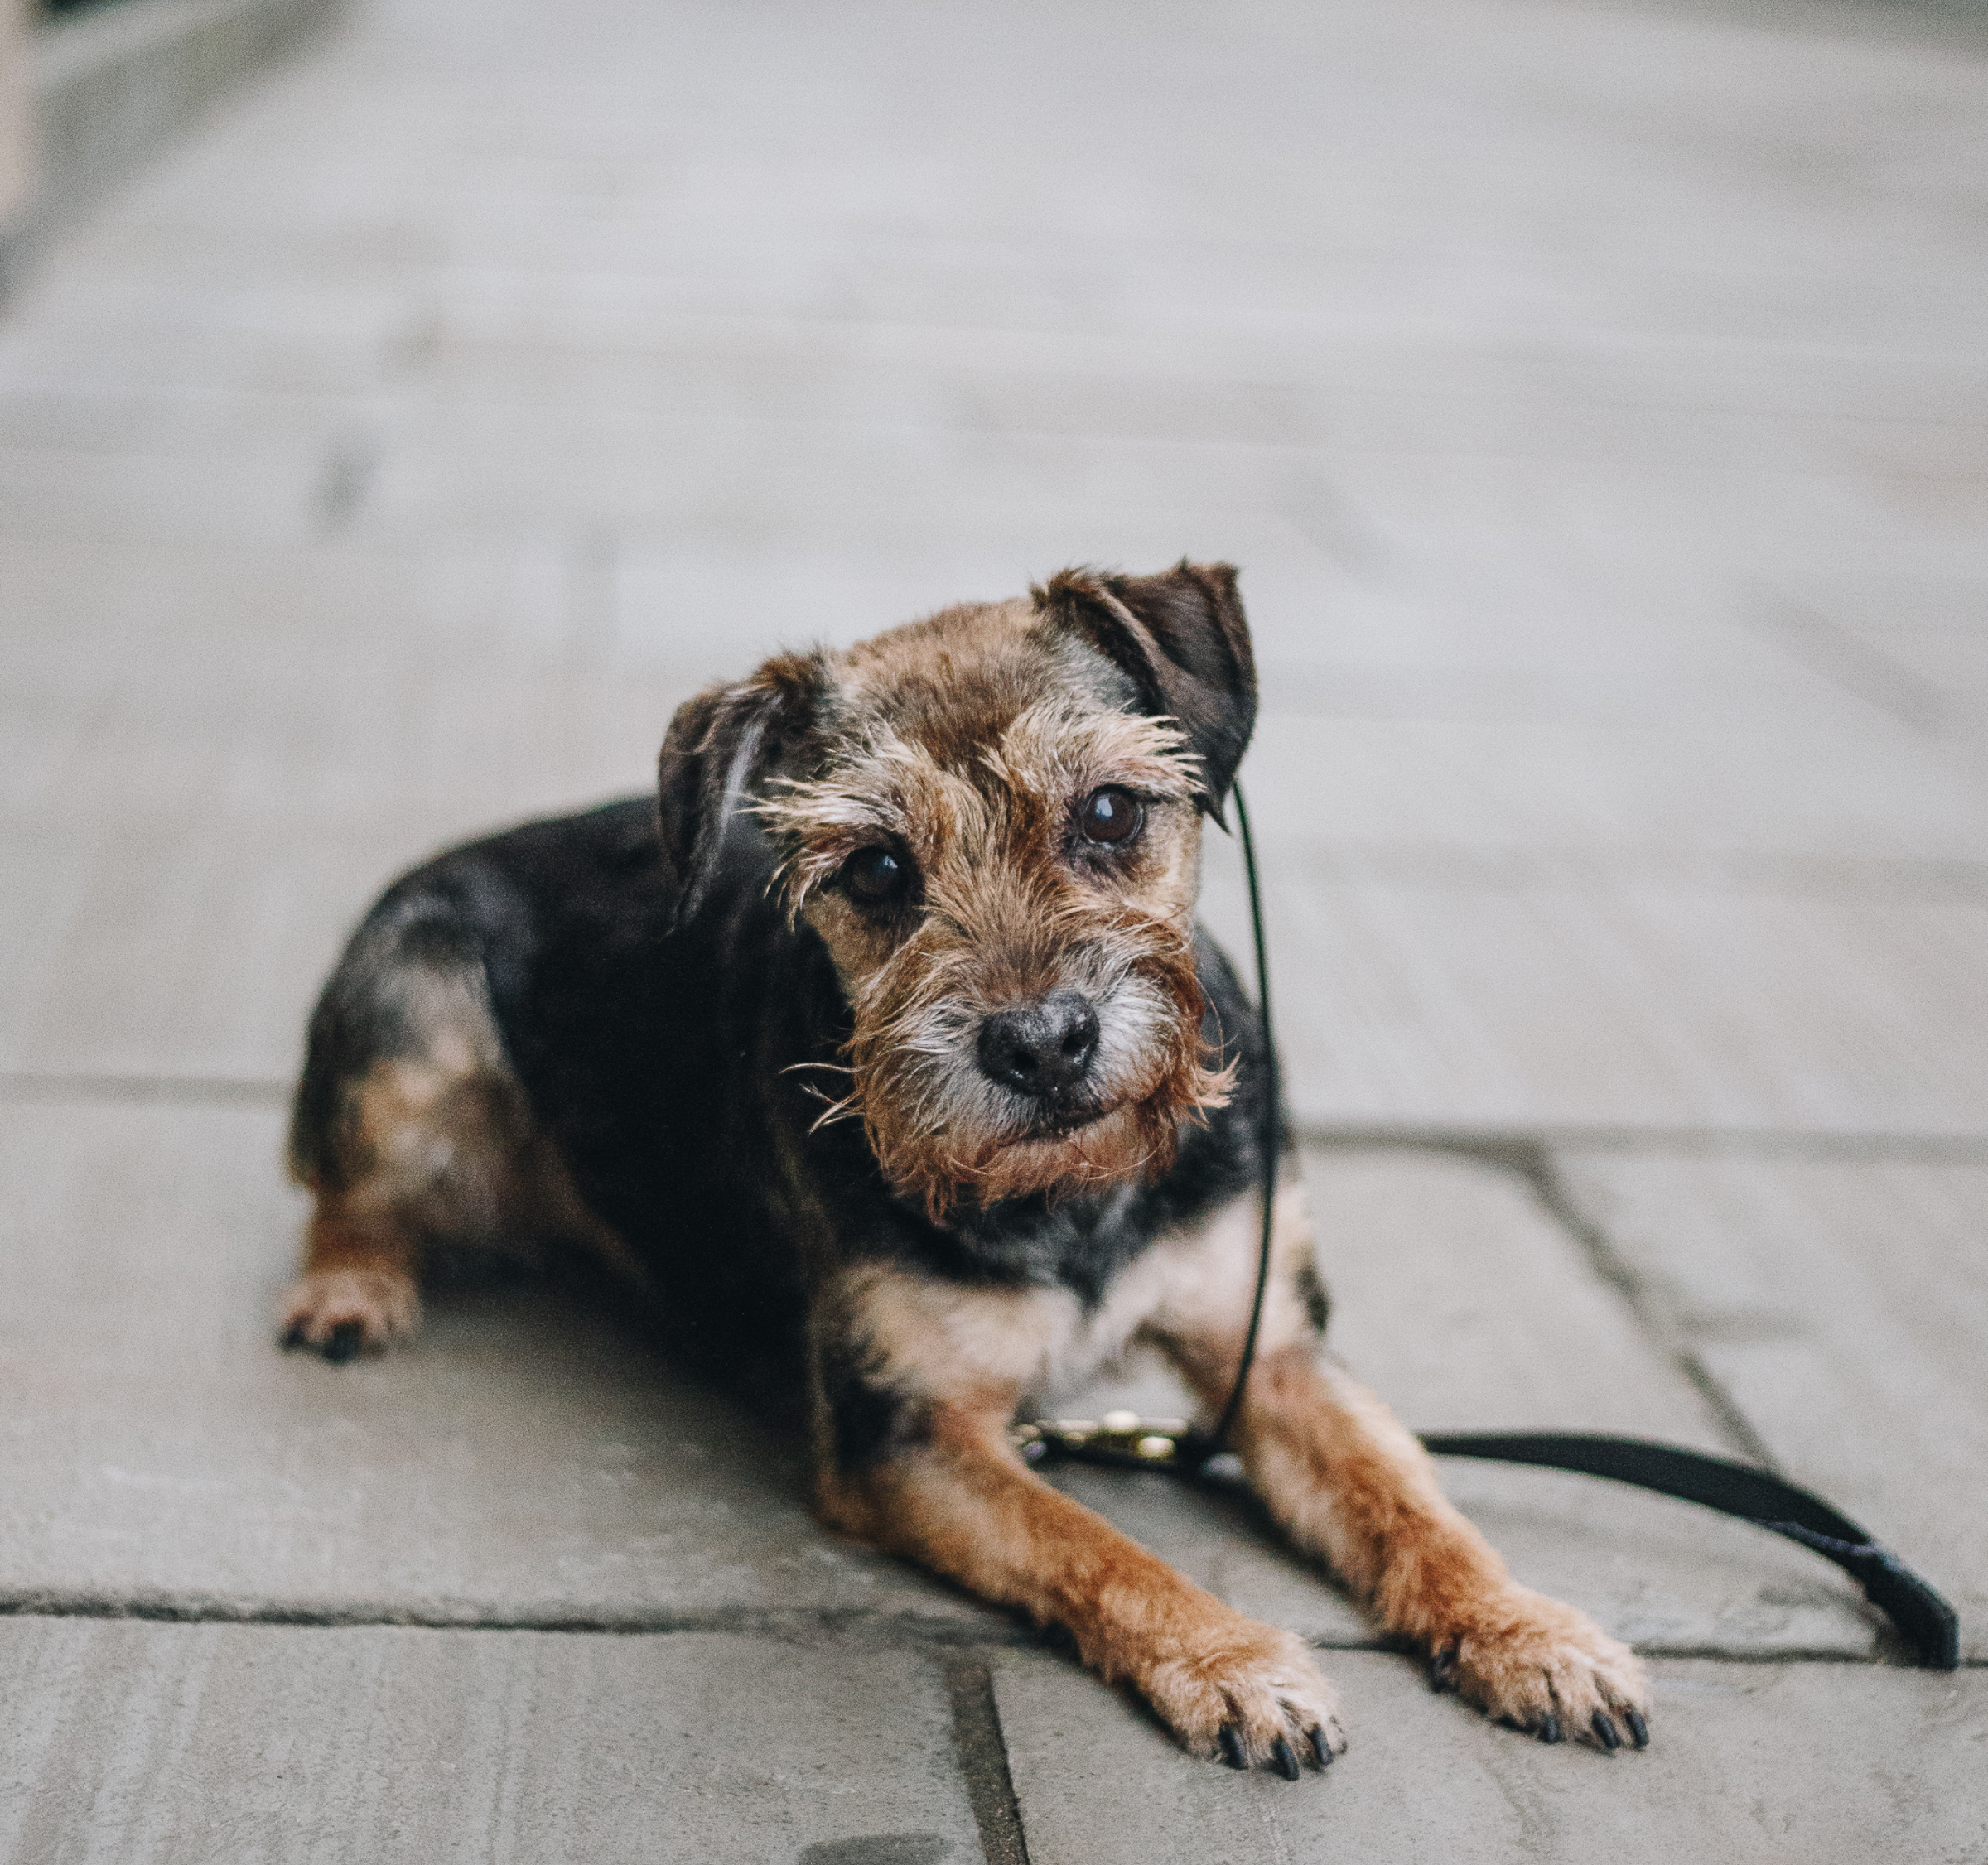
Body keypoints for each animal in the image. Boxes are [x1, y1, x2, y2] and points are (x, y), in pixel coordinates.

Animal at [280, 561, 1646, 1765]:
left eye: (1110, 812)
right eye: (877, 868)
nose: (1041, 1043)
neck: (1077, 1190)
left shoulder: (1272, 1356)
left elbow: (1411, 1504)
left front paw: (1530, 1634)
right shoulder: (909, 1433)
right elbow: (1096, 1544)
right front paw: (1236, 1663)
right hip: (413, 1016)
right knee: (344, 1189)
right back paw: (350, 1289)